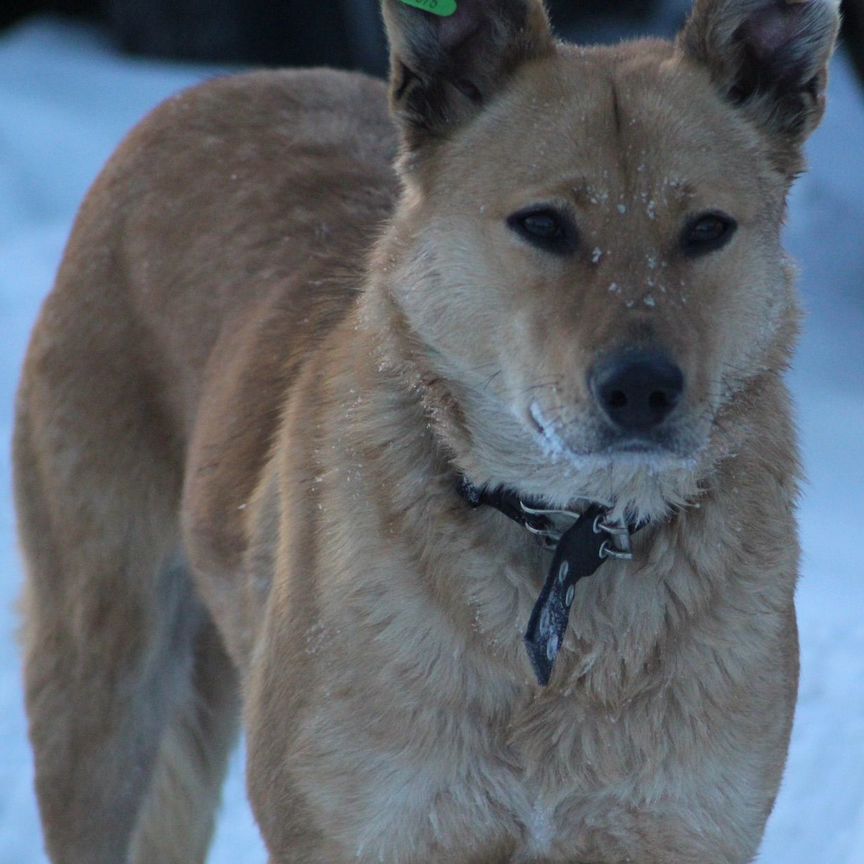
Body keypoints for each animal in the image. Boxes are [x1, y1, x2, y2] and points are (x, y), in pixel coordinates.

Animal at [13, 1, 836, 864]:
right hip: (104, 676)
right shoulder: (360, 828)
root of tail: (213, 86)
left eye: (707, 229)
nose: (642, 389)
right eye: (543, 224)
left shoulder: (682, 826)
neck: (566, 538)